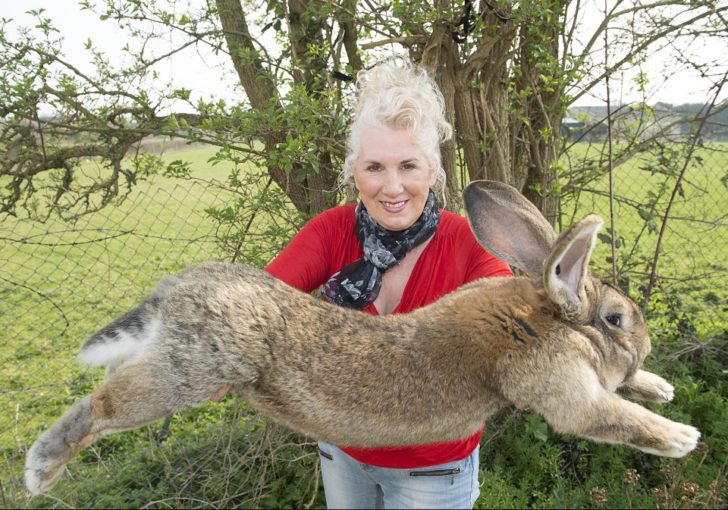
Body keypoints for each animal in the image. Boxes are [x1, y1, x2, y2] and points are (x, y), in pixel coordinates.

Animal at [25, 180, 700, 496]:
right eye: (616, 320)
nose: (644, 345)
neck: (543, 316)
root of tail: (174, 293)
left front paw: (659, 386)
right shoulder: (561, 387)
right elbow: (608, 416)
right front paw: (681, 436)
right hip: (188, 374)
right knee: (101, 405)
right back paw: (40, 472)